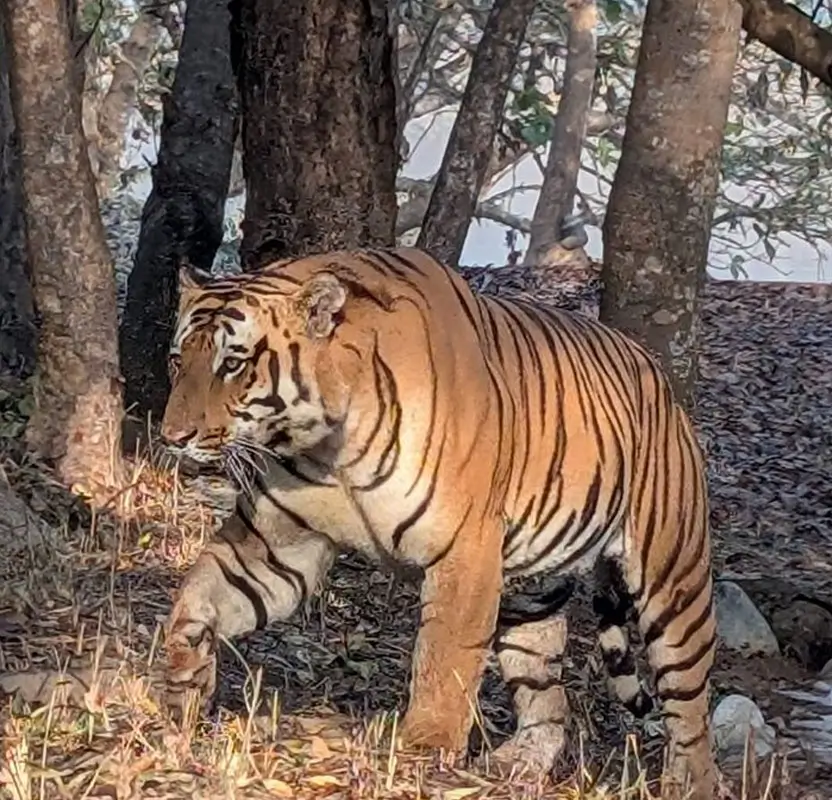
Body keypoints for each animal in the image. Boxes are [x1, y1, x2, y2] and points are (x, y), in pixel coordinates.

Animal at [160, 246, 716, 800]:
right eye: (177, 360)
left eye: (233, 365)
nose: (172, 437)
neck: (326, 444)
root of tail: (658, 378)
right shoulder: (280, 545)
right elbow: (199, 597)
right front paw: (183, 683)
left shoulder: (464, 549)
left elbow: (444, 660)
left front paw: (423, 753)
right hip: (531, 593)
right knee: (547, 698)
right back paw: (515, 767)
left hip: (674, 584)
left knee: (691, 715)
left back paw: (687, 782)